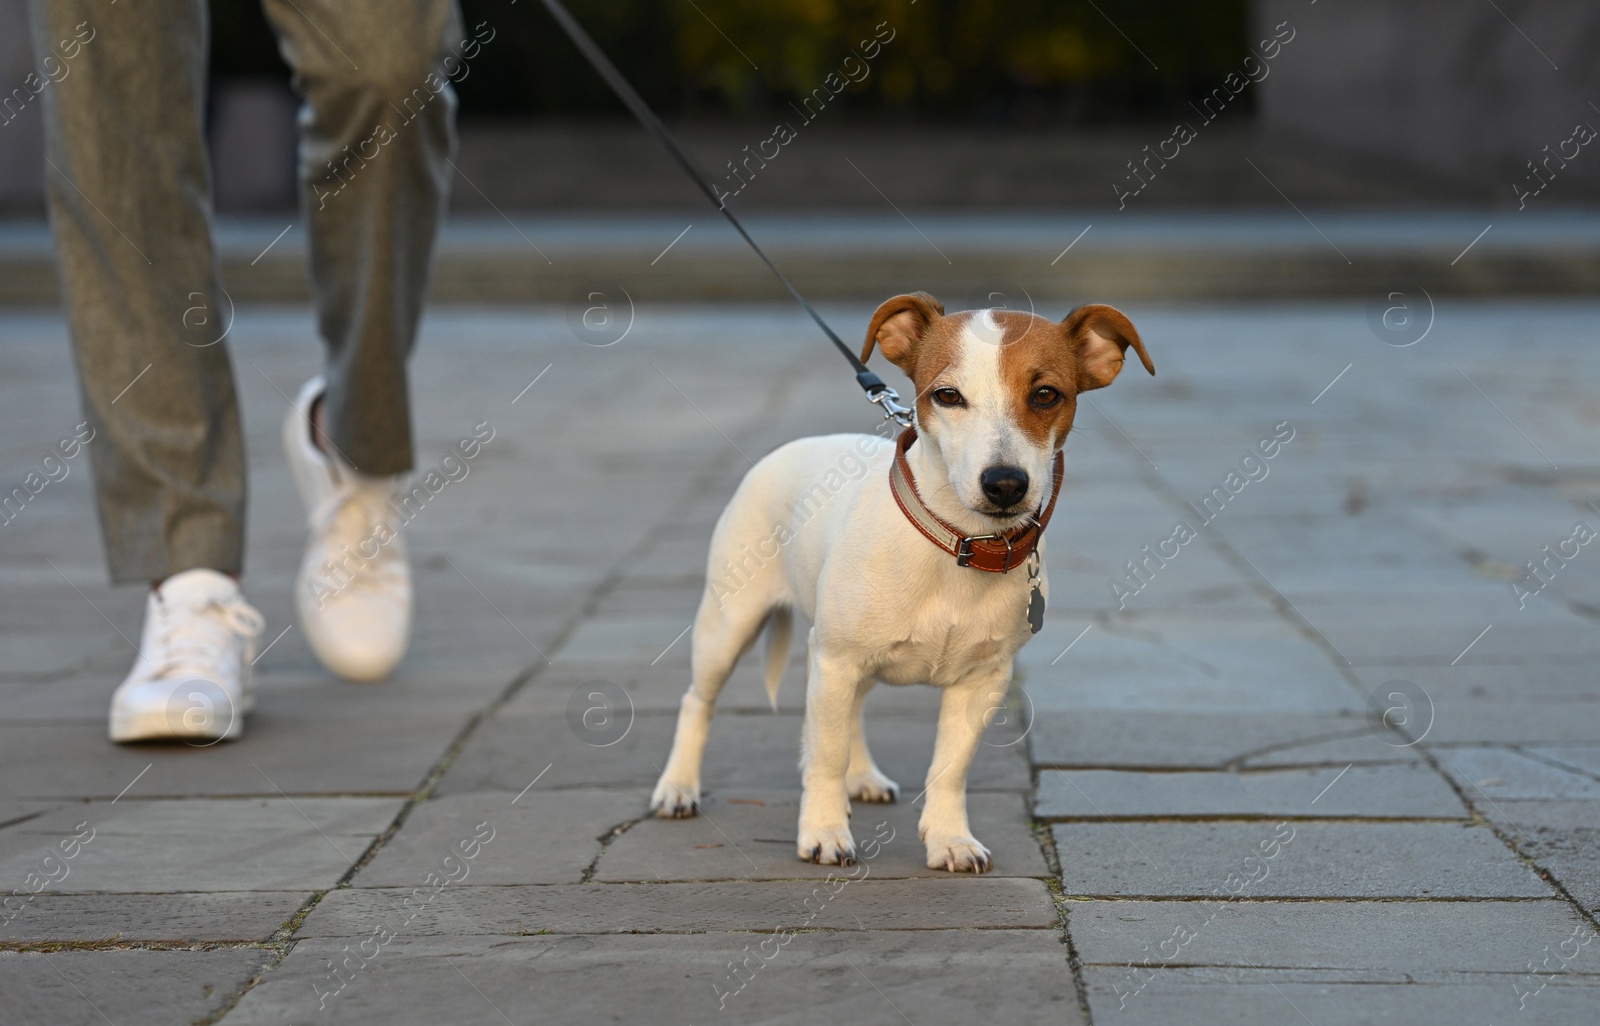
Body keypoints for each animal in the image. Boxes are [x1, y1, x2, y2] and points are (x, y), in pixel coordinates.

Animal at [649, 289, 1152, 870]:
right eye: (948, 396)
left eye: (1047, 394)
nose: (1005, 484)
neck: (959, 546)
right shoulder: (836, 659)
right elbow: (825, 756)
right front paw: (823, 831)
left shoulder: (981, 681)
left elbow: (949, 769)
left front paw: (949, 838)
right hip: (730, 627)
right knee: (699, 701)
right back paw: (678, 788)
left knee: (852, 712)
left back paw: (862, 776)